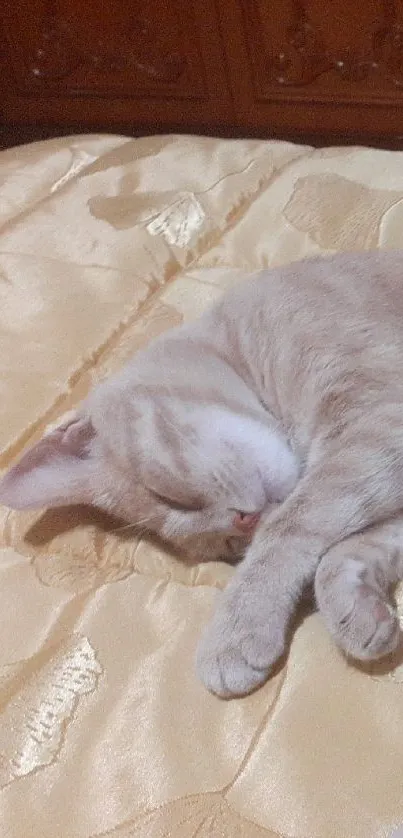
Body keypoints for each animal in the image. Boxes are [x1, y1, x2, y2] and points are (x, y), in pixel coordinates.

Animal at [0, 253, 403, 700]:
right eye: (227, 546)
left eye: (171, 496)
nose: (245, 520)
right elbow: (344, 552)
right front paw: (359, 611)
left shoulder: (378, 418)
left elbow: (291, 526)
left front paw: (236, 630)